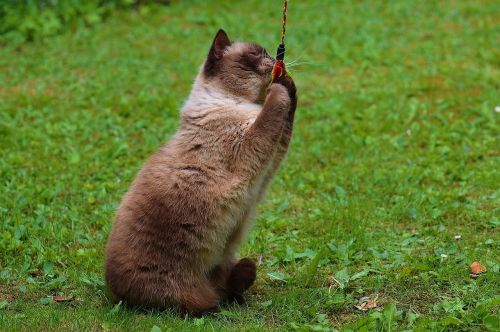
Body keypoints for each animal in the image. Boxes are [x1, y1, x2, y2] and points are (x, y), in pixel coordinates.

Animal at [103, 27, 294, 314]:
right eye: (255, 53)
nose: (274, 59)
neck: (237, 102)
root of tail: (114, 292)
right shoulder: (253, 145)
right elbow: (272, 111)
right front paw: (279, 87)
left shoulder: (267, 168)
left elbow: (286, 115)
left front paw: (289, 81)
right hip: (188, 293)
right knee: (208, 301)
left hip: (225, 258)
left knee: (234, 279)